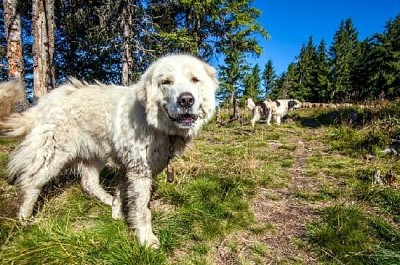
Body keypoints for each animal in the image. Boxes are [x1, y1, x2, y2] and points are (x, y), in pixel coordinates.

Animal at [0, 53, 219, 248]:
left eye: (195, 80)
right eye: (166, 82)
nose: (186, 100)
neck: (159, 127)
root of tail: (43, 103)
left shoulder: (130, 166)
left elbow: (121, 192)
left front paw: (117, 211)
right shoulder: (139, 170)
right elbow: (142, 209)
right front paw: (146, 239)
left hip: (95, 154)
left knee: (88, 183)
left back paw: (105, 199)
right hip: (53, 155)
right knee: (31, 183)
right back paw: (24, 220)